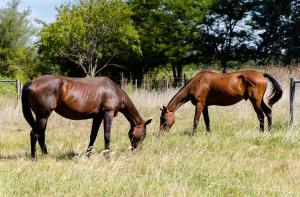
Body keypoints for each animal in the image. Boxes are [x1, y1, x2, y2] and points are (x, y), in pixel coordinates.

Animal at [21, 74, 152, 159]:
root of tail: (32, 82)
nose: (137, 151)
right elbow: (107, 136)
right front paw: (107, 156)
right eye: (144, 134)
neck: (114, 90)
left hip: (43, 116)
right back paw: (34, 157)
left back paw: (46, 155)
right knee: (34, 134)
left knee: (41, 135)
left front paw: (88, 155)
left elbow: (93, 136)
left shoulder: (97, 117)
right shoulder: (107, 114)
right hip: (43, 116)